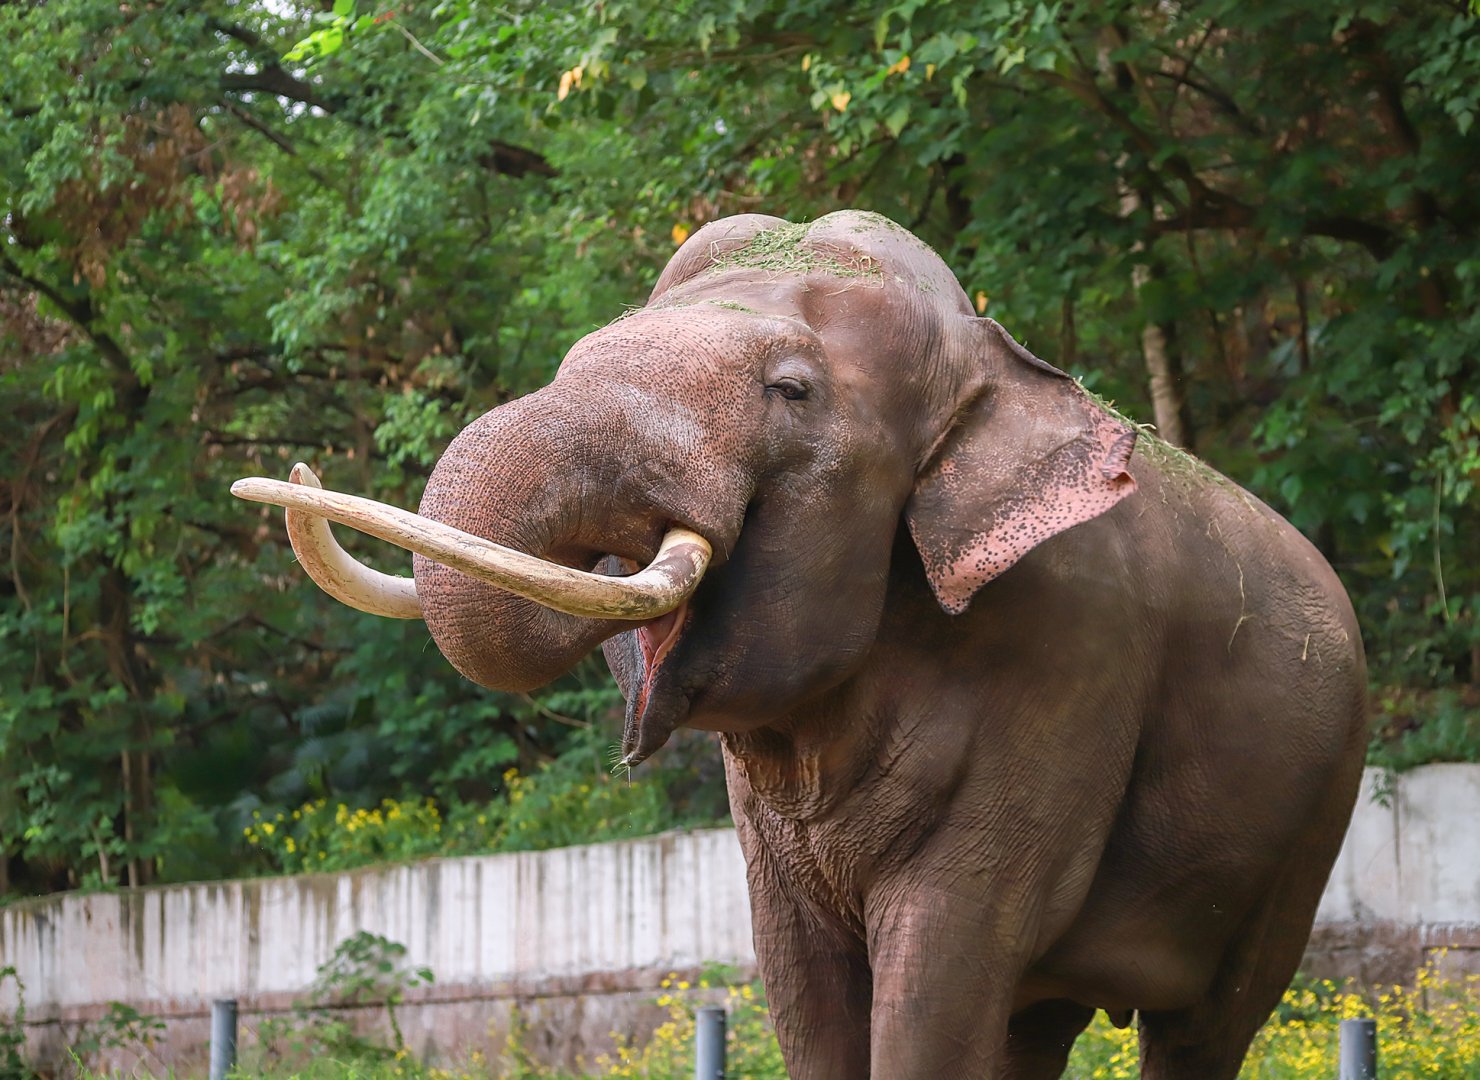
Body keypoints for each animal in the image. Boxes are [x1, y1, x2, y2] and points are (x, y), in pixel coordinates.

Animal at [234, 210, 1368, 1078]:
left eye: (791, 391)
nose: (286, 475)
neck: (986, 355)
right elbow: (802, 985)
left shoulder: (1071, 669)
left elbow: (946, 962)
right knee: (1039, 1025)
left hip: (1310, 819)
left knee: (1204, 1024)